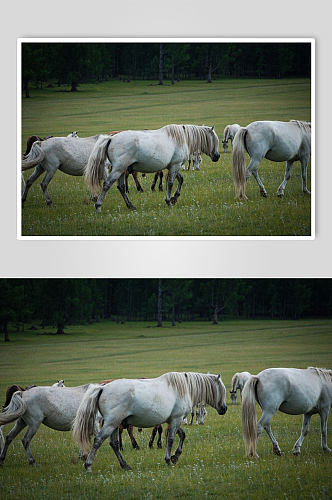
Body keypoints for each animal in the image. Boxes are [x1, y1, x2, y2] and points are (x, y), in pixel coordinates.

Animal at [72, 372, 228, 472]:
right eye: (222, 389)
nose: (224, 408)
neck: (184, 387)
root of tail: (103, 387)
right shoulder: (176, 419)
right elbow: (171, 439)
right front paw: (169, 460)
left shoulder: (172, 420)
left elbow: (182, 435)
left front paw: (175, 456)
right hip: (111, 423)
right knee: (98, 440)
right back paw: (88, 465)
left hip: (115, 424)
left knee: (114, 443)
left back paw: (125, 466)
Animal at [83, 125, 220, 213]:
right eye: (215, 140)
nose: (217, 156)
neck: (182, 138)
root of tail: (111, 138)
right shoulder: (175, 165)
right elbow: (170, 183)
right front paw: (168, 200)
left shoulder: (172, 166)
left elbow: (180, 180)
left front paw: (174, 198)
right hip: (118, 169)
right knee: (107, 184)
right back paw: (98, 206)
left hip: (121, 170)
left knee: (121, 187)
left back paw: (131, 206)